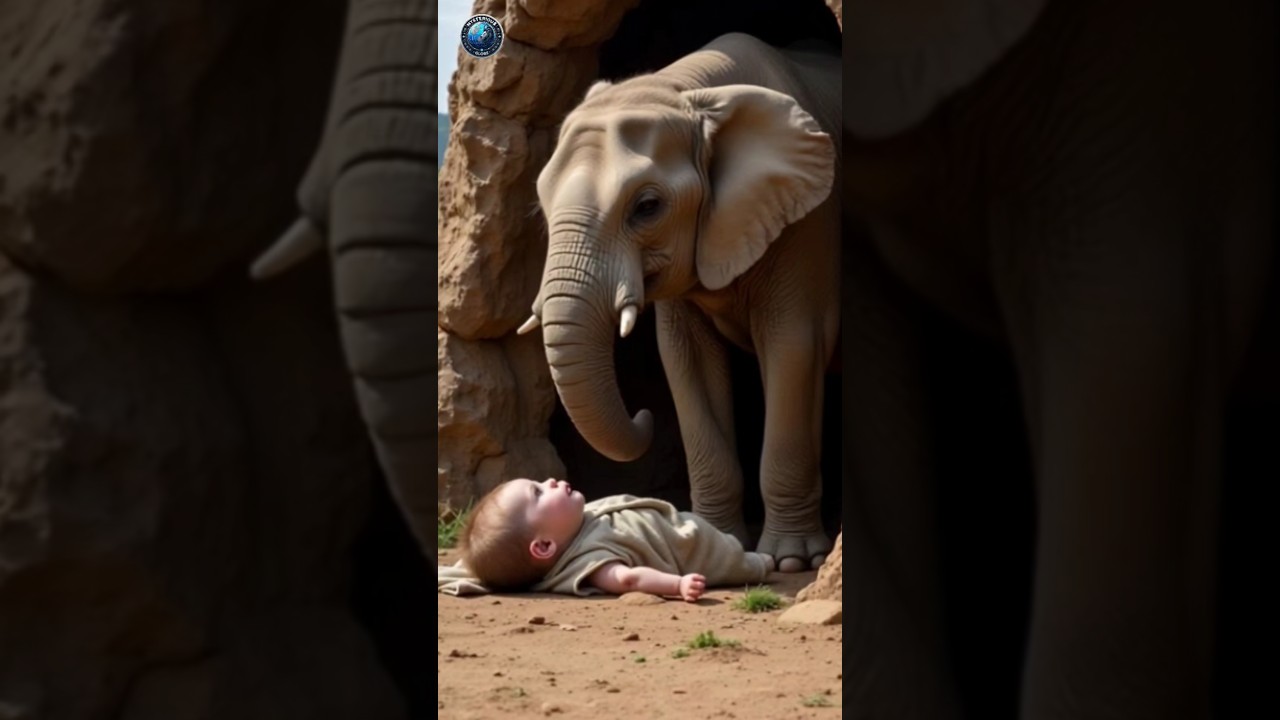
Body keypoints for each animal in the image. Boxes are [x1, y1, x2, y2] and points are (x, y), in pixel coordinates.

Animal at [518, 32, 842, 574]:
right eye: (542, 201)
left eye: (647, 208)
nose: (643, 415)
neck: (688, 94)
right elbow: (686, 360)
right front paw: (712, 540)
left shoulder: (808, 223)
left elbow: (794, 346)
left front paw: (792, 561)